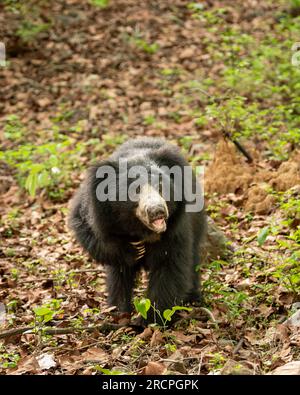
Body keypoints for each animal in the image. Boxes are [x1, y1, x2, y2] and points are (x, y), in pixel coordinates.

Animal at [68, 138, 206, 324]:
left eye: (161, 187)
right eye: (136, 190)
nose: (157, 211)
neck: (141, 228)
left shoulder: (177, 226)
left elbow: (169, 266)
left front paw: (149, 319)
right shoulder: (99, 212)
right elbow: (85, 227)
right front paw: (133, 250)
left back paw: (193, 298)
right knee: (118, 277)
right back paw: (118, 309)